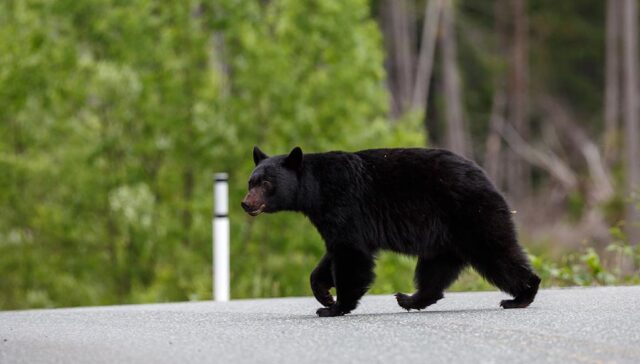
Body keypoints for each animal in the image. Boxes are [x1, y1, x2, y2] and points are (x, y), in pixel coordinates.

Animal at [241, 146, 540, 318]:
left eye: (266, 183)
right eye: (250, 182)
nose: (246, 203)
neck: (316, 191)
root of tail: (488, 178)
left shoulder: (344, 205)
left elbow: (351, 256)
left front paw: (334, 307)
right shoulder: (333, 219)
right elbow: (332, 255)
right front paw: (324, 293)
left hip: (471, 215)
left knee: (497, 253)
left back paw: (521, 296)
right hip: (444, 237)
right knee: (435, 271)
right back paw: (410, 299)